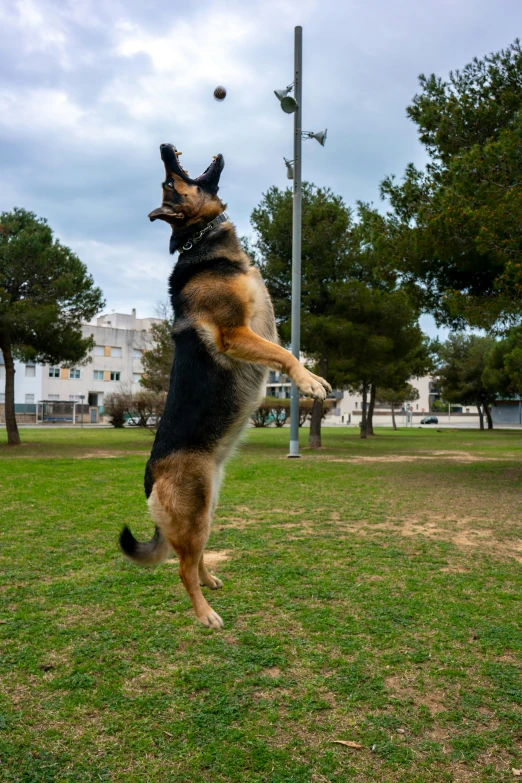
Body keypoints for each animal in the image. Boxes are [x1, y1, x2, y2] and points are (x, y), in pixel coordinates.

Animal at [119, 145, 330, 632]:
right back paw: (205, 614)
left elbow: (286, 347)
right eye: (171, 182)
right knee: (180, 567)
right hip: (196, 514)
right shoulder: (236, 333)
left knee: (194, 558)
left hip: (207, 509)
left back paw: (211, 580)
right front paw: (308, 381)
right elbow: (285, 356)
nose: (163, 147)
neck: (200, 243)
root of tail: (150, 476)